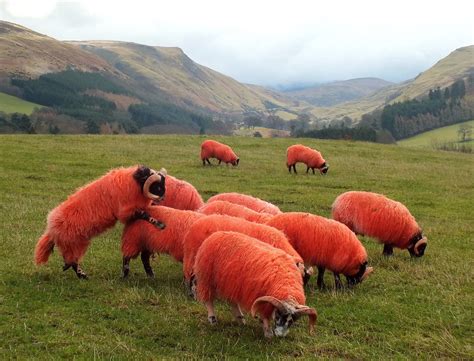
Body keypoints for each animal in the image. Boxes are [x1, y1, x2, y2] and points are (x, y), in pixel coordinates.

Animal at [34, 165, 167, 278]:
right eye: (158, 186)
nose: (163, 197)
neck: (134, 181)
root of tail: (51, 229)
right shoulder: (125, 212)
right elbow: (144, 214)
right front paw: (160, 224)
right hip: (74, 243)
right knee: (72, 261)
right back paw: (82, 275)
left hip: (74, 243)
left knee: (69, 261)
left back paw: (72, 271)